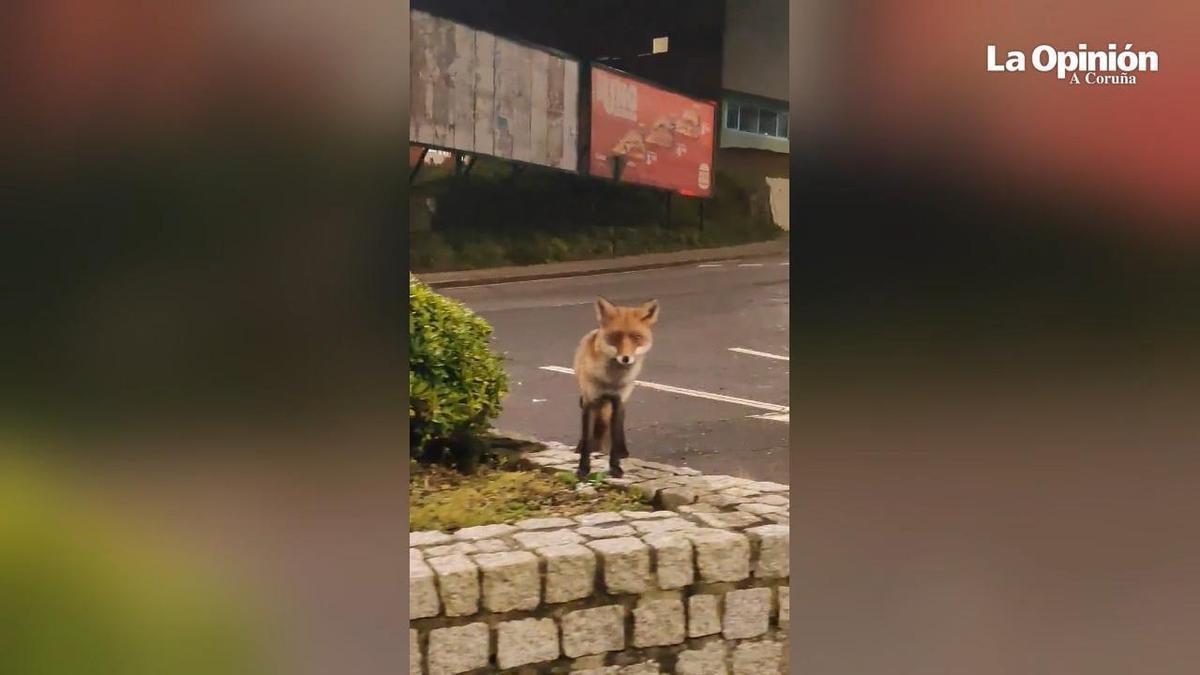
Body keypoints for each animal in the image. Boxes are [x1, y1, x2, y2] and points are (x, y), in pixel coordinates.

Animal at [573, 296, 660, 479]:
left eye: (637, 337)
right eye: (615, 336)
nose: (625, 358)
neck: (610, 380)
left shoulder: (618, 400)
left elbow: (615, 435)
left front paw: (615, 467)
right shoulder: (590, 401)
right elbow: (588, 438)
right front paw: (583, 469)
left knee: (618, 431)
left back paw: (623, 451)